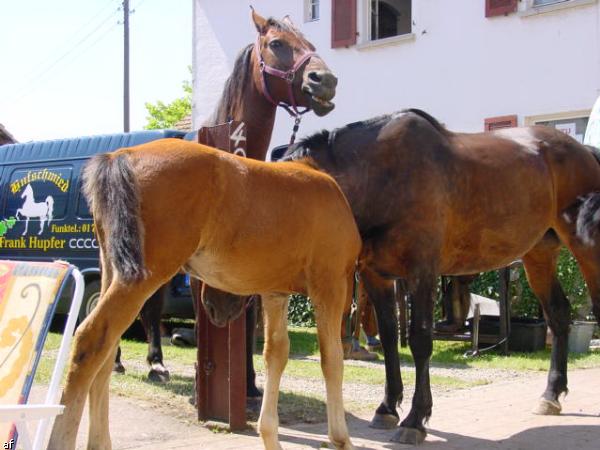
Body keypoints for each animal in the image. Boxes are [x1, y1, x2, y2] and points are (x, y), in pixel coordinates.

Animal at [49, 139, 358, 448]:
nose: (214, 306)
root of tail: (120, 155)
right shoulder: (330, 286)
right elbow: (332, 359)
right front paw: (340, 438)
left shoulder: (275, 293)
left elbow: (276, 355)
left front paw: (269, 435)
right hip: (140, 280)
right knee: (90, 339)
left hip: (113, 271)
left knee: (106, 352)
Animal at [118, 7, 340, 386]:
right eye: (276, 43)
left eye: (311, 44)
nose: (324, 80)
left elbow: (248, 319)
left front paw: (248, 382)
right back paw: (138, 362)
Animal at [276, 110, 600, 442]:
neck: (384, 176)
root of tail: (585, 151)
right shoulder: (375, 275)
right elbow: (390, 337)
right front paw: (387, 408)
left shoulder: (422, 273)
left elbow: (420, 339)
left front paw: (415, 419)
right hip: (539, 253)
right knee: (558, 314)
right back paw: (551, 395)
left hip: (587, 248)